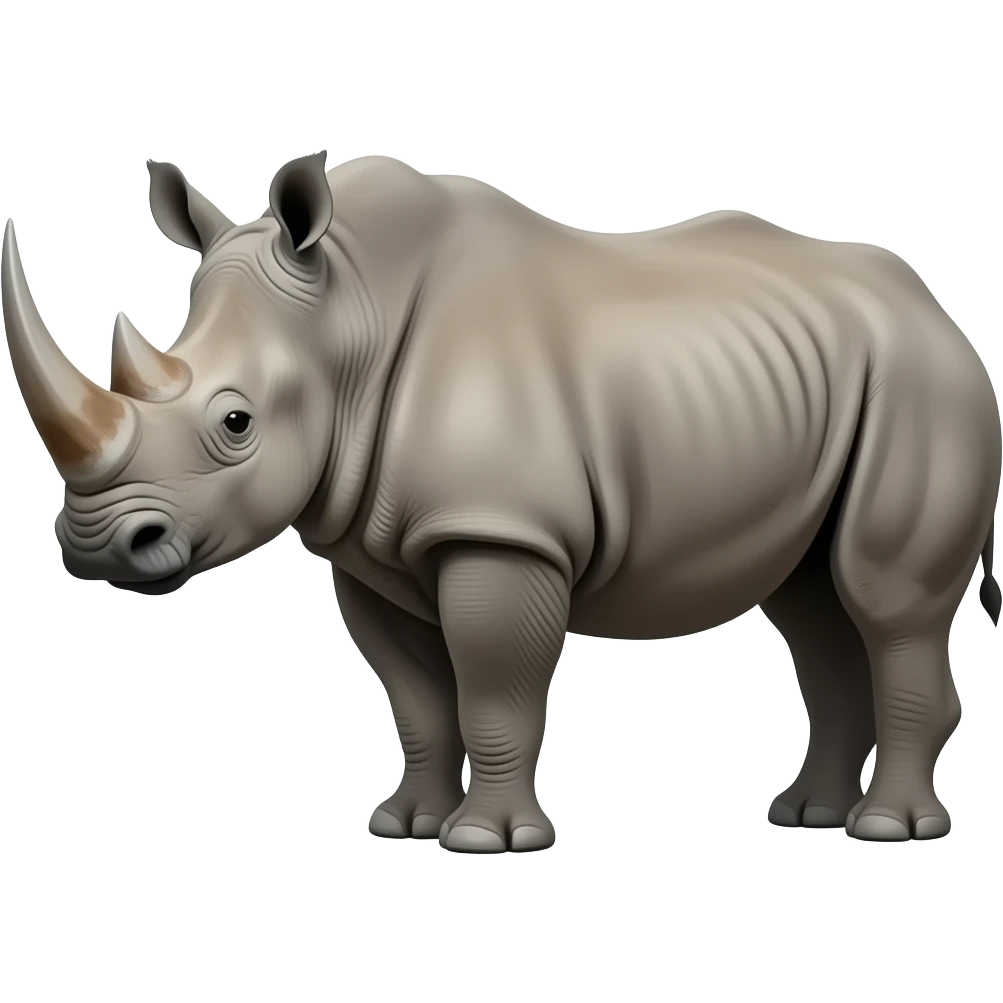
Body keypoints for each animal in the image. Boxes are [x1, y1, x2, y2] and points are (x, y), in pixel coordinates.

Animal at [3, 151, 1000, 852]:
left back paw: (887, 830)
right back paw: (805, 815)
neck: (346, 314)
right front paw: (404, 824)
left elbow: (491, 685)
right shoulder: (370, 547)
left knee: (883, 601)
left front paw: (487, 839)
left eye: (236, 422)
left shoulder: (499, 531)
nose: (95, 546)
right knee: (811, 602)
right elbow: (415, 699)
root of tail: (941, 313)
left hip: (923, 386)